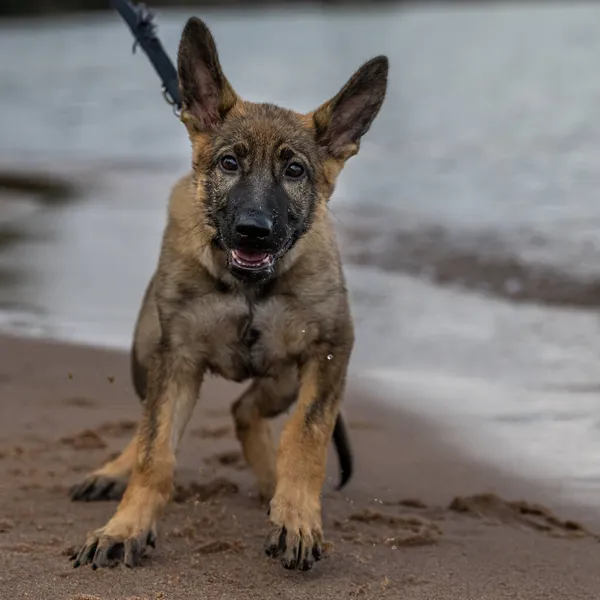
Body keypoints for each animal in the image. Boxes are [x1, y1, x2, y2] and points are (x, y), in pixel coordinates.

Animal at [70, 17, 390, 572]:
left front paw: (296, 516)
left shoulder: (330, 351)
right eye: (228, 163)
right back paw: (113, 471)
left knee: (247, 411)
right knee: (152, 423)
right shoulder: (175, 358)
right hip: (144, 354)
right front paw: (125, 527)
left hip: (287, 375)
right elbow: (156, 449)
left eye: (295, 170)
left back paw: (270, 485)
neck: (248, 287)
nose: (252, 231)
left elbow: (305, 438)